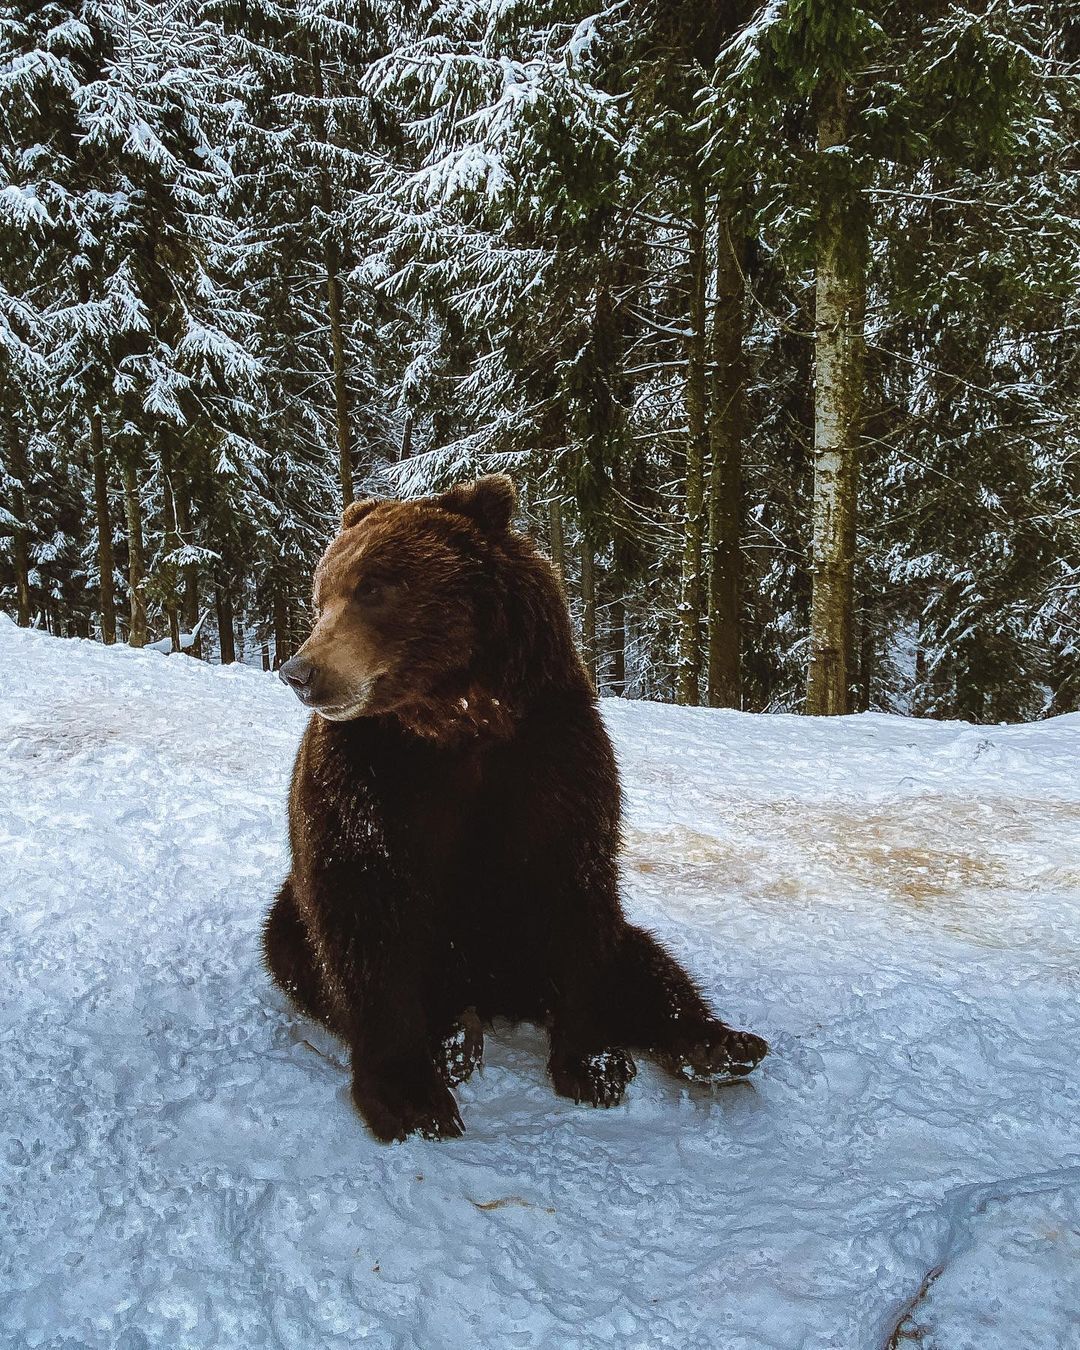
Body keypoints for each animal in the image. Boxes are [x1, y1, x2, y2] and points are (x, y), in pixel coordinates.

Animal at [263, 475, 766, 1139]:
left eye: (372, 588)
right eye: (323, 594)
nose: (300, 670)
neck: (457, 718)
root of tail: (497, 992)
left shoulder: (552, 762)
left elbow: (578, 898)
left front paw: (595, 1064)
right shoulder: (368, 779)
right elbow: (362, 913)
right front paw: (409, 1097)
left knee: (640, 958)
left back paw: (719, 1045)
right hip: (331, 928)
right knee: (300, 954)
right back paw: (453, 1035)